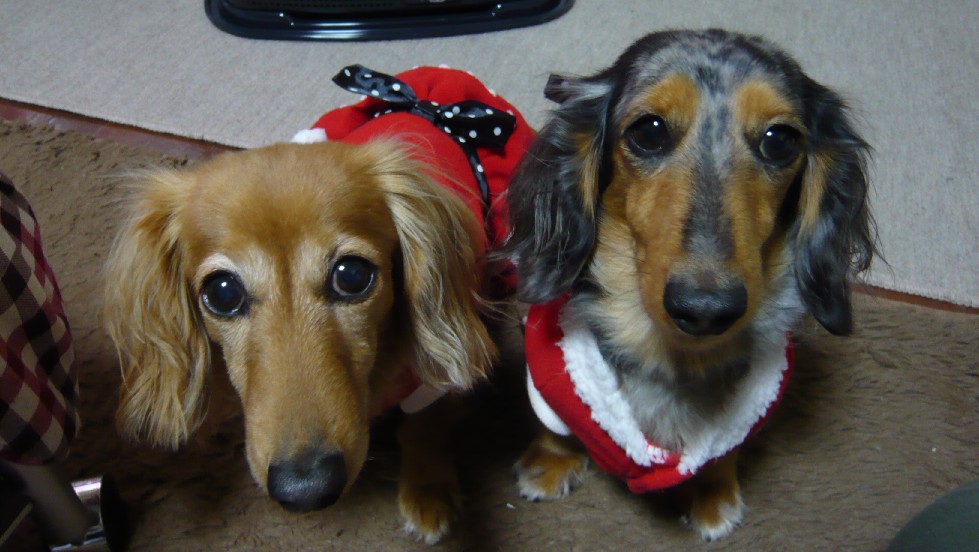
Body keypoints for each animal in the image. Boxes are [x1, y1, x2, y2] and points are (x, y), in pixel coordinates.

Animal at [103, 65, 533, 543]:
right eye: (222, 292)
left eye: (352, 276)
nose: (306, 488)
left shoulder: (430, 383)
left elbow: (423, 428)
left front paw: (428, 492)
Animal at [503, 29, 876, 540]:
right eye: (649, 131)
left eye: (780, 140)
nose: (705, 309)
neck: (672, 355)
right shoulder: (550, 377)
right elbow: (557, 425)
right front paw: (550, 462)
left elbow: (722, 448)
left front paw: (714, 492)